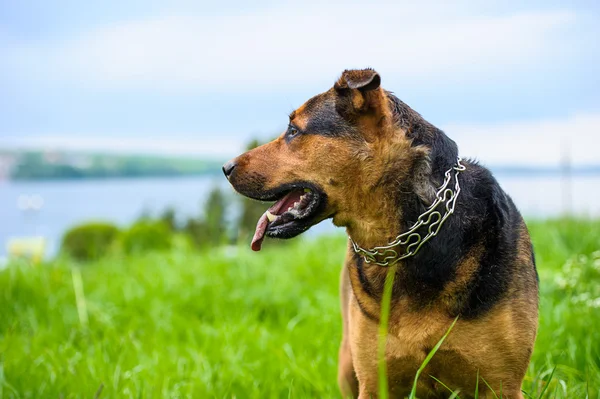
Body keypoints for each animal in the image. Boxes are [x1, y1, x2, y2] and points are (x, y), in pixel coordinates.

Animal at [221, 69, 540, 399]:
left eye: (294, 131)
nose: (225, 168)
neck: (405, 241)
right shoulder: (375, 383)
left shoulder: (501, 385)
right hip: (348, 362)